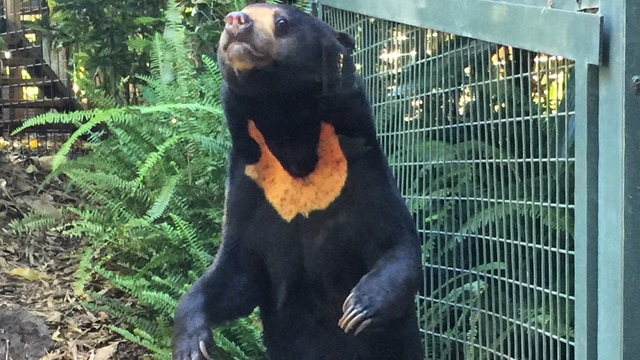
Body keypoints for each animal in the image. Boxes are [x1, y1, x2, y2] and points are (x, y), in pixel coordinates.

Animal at [172, 3, 422, 360]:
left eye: (281, 22)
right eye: (234, 17)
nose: (235, 20)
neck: (289, 130)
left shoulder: (362, 168)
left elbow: (398, 244)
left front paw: (357, 310)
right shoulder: (252, 187)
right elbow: (235, 272)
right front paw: (191, 345)